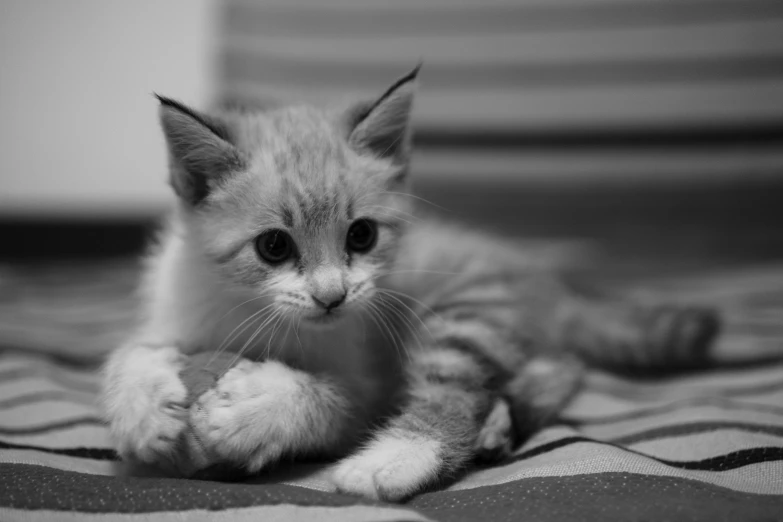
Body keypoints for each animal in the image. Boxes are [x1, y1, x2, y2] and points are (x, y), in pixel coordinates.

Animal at [101, 66, 720, 500]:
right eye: (273, 246)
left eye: (362, 236)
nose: (332, 296)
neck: (246, 308)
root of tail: (552, 286)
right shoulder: (177, 306)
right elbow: (128, 352)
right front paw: (143, 408)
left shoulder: (370, 380)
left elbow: (334, 399)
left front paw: (260, 408)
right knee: (561, 366)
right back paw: (500, 423)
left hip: (469, 309)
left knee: (466, 389)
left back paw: (398, 458)